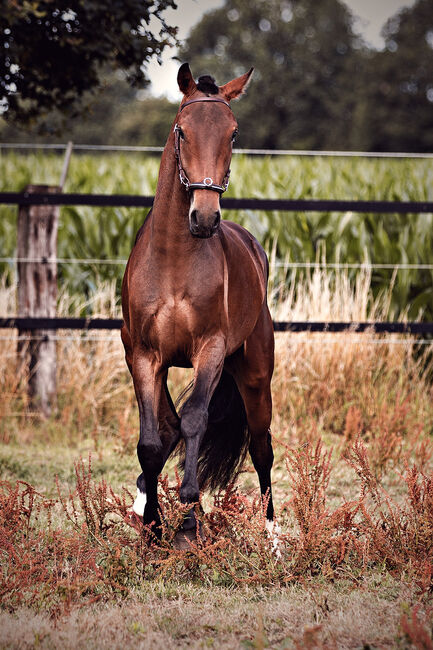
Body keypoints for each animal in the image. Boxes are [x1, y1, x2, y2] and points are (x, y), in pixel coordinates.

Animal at [120, 62, 276, 548]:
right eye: (181, 131)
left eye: (233, 133)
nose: (205, 217)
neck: (173, 259)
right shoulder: (144, 356)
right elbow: (152, 441)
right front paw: (152, 526)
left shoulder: (209, 350)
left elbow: (195, 422)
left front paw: (188, 523)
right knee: (167, 428)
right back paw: (141, 504)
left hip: (255, 375)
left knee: (261, 448)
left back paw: (275, 541)